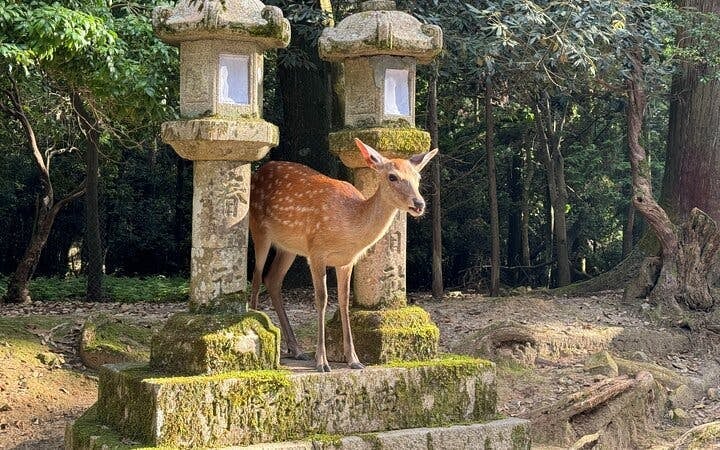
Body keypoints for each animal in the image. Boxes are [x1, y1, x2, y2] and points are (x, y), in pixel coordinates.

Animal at [249, 138, 437, 372]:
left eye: (418, 177)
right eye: (392, 176)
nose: (419, 204)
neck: (349, 225)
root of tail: (257, 172)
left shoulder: (346, 261)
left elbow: (344, 301)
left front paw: (354, 359)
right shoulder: (316, 252)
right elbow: (321, 299)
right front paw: (322, 362)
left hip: (288, 247)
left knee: (272, 279)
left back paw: (296, 349)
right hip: (258, 228)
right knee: (256, 277)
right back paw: (257, 325)